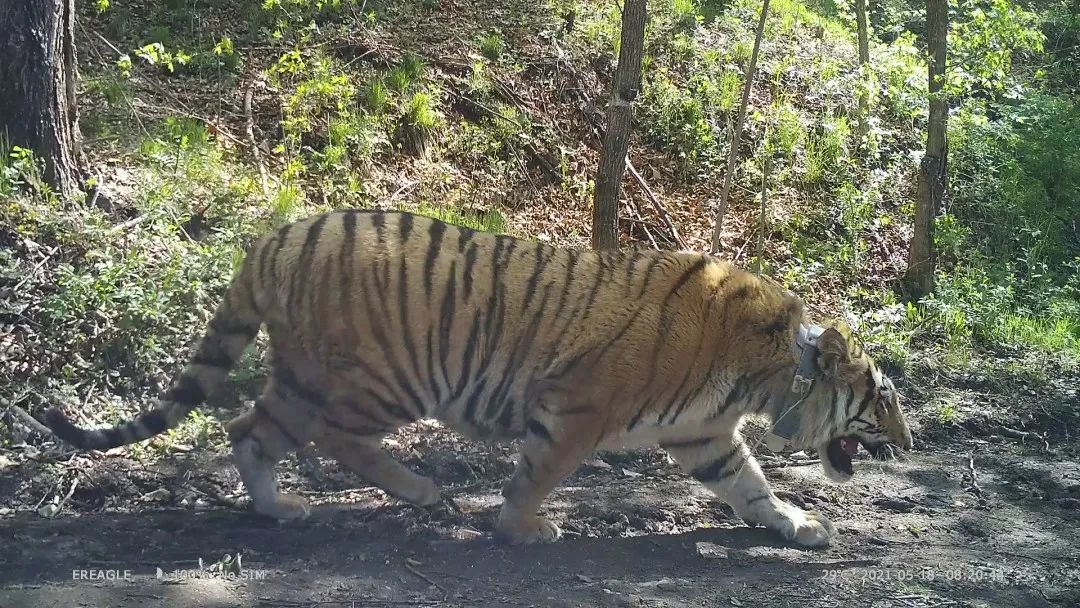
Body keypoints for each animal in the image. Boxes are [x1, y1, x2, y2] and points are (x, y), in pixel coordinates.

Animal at [46, 209, 915, 546]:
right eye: (884, 400)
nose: (910, 444)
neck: (768, 374)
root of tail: (276, 237)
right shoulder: (578, 409)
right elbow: (541, 473)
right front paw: (521, 527)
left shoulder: (705, 434)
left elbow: (751, 485)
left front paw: (796, 524)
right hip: (377, 377)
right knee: (317, 434)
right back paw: (414, 490)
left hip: (306, 372)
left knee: (245, 426)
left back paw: (280, 507)